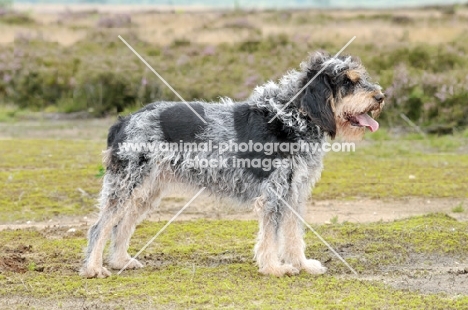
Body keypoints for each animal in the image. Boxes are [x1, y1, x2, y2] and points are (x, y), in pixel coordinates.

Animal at [79, 51, 384, 278]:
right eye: (348, 82)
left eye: (361, 78)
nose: (381, 97)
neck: (294, 117)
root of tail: (124, 120)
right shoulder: (274, 193)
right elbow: (271, 236)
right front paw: (274, 268)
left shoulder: (293, 193)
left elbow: (293, 234)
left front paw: (302, 264)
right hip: (126, 186)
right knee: (100, 227)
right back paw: (94, 268)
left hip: (145, 191)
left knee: (122, 225)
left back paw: (120, 261)